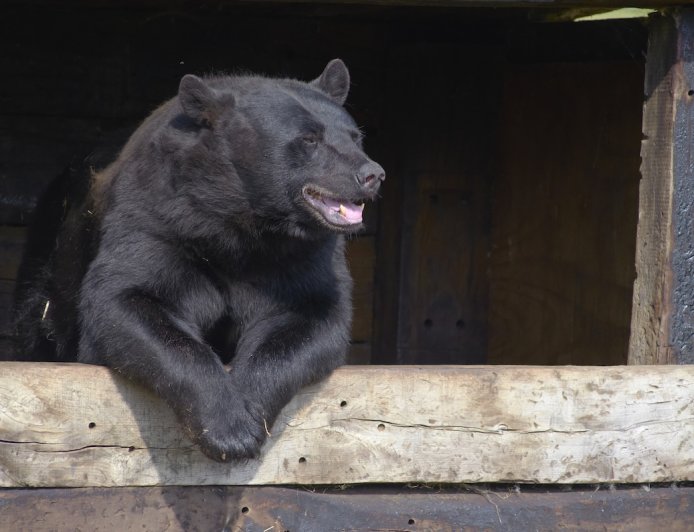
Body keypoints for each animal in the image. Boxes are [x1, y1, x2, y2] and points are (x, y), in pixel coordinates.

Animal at [12, 59, 385, 462]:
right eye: (309, 139)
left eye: (355, 136)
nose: (372, 174)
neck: (240, 226)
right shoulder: (157, 221)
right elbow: (126, 302)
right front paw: (227, 429)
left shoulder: (303, 258)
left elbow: (311, 318)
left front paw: (248, 412)